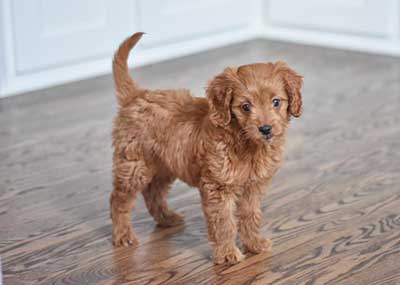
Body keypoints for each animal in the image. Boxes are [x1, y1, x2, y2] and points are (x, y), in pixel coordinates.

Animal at [110, 32, 304, 264]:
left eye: (276, 102)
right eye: (245, 106)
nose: (265, 129)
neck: (245, 142)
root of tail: (137, 95)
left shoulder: (253, 187)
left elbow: (250, 215)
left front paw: (254, 244)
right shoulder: (217, 187)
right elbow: (224, 222)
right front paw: (227, 254)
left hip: (165, 166)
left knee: (153, 192)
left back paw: (167, 218)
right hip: (134, 165)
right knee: (119, 200)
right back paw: (123, 235)